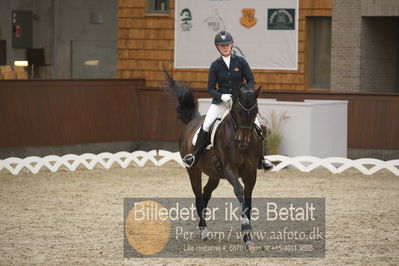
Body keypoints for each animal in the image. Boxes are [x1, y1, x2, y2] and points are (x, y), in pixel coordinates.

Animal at [164, 70, 264, 243]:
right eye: (238, 111)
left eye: (255, 111)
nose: (243, 141)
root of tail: (192, 122)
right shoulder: (229, 169)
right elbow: (239, 191)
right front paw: (245, 226)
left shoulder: (251, 172)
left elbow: (248, 199)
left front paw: (247, 236)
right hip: (193, 170)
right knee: (198, 197)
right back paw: (204, 230)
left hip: (214, 175)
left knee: (205, 194)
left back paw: (202, 226)